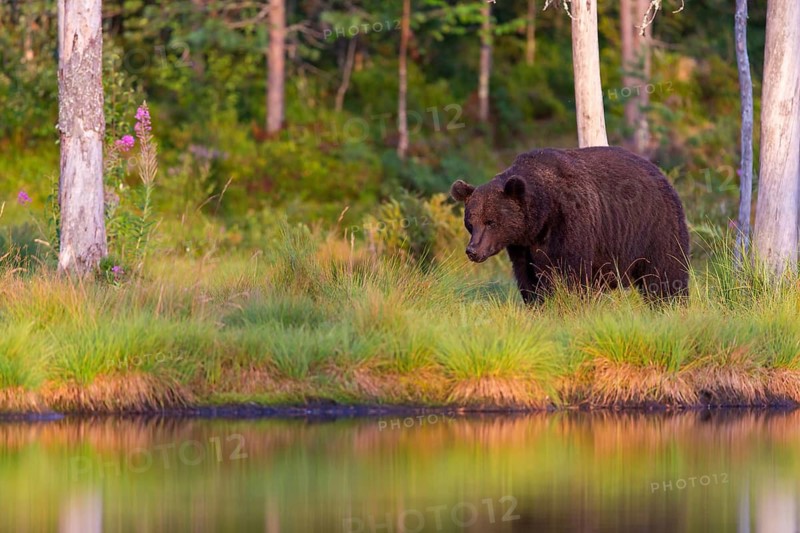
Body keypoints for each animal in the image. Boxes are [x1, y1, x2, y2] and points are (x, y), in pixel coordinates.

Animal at [450, 146, 690, 304]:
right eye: (470, 223)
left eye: (491, 222)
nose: (473, 250)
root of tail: (661, 174)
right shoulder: (522, 246)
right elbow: (528, 279)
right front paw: (538, 305)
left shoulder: (572, 224)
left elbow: (570, 275)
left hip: (654, 226)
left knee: (665, 273)